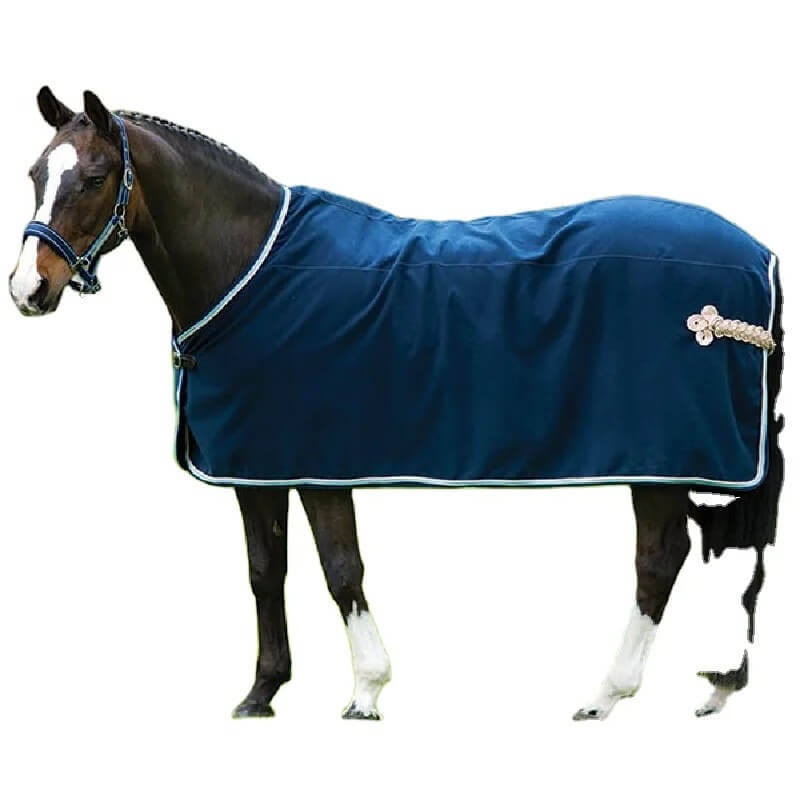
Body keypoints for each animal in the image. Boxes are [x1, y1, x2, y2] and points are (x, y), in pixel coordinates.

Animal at [8, 87, 784, 721]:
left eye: (96, 177)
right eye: (37, 174)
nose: (27, 289)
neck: (251, 270)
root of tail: (759, 257)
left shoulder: (316, 462)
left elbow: (340, 567)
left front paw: (366, 691)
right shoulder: (256, 465)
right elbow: (266, 570)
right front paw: (262, 692)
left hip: (659, 461)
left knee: (658, 560)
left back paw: (605, 696)